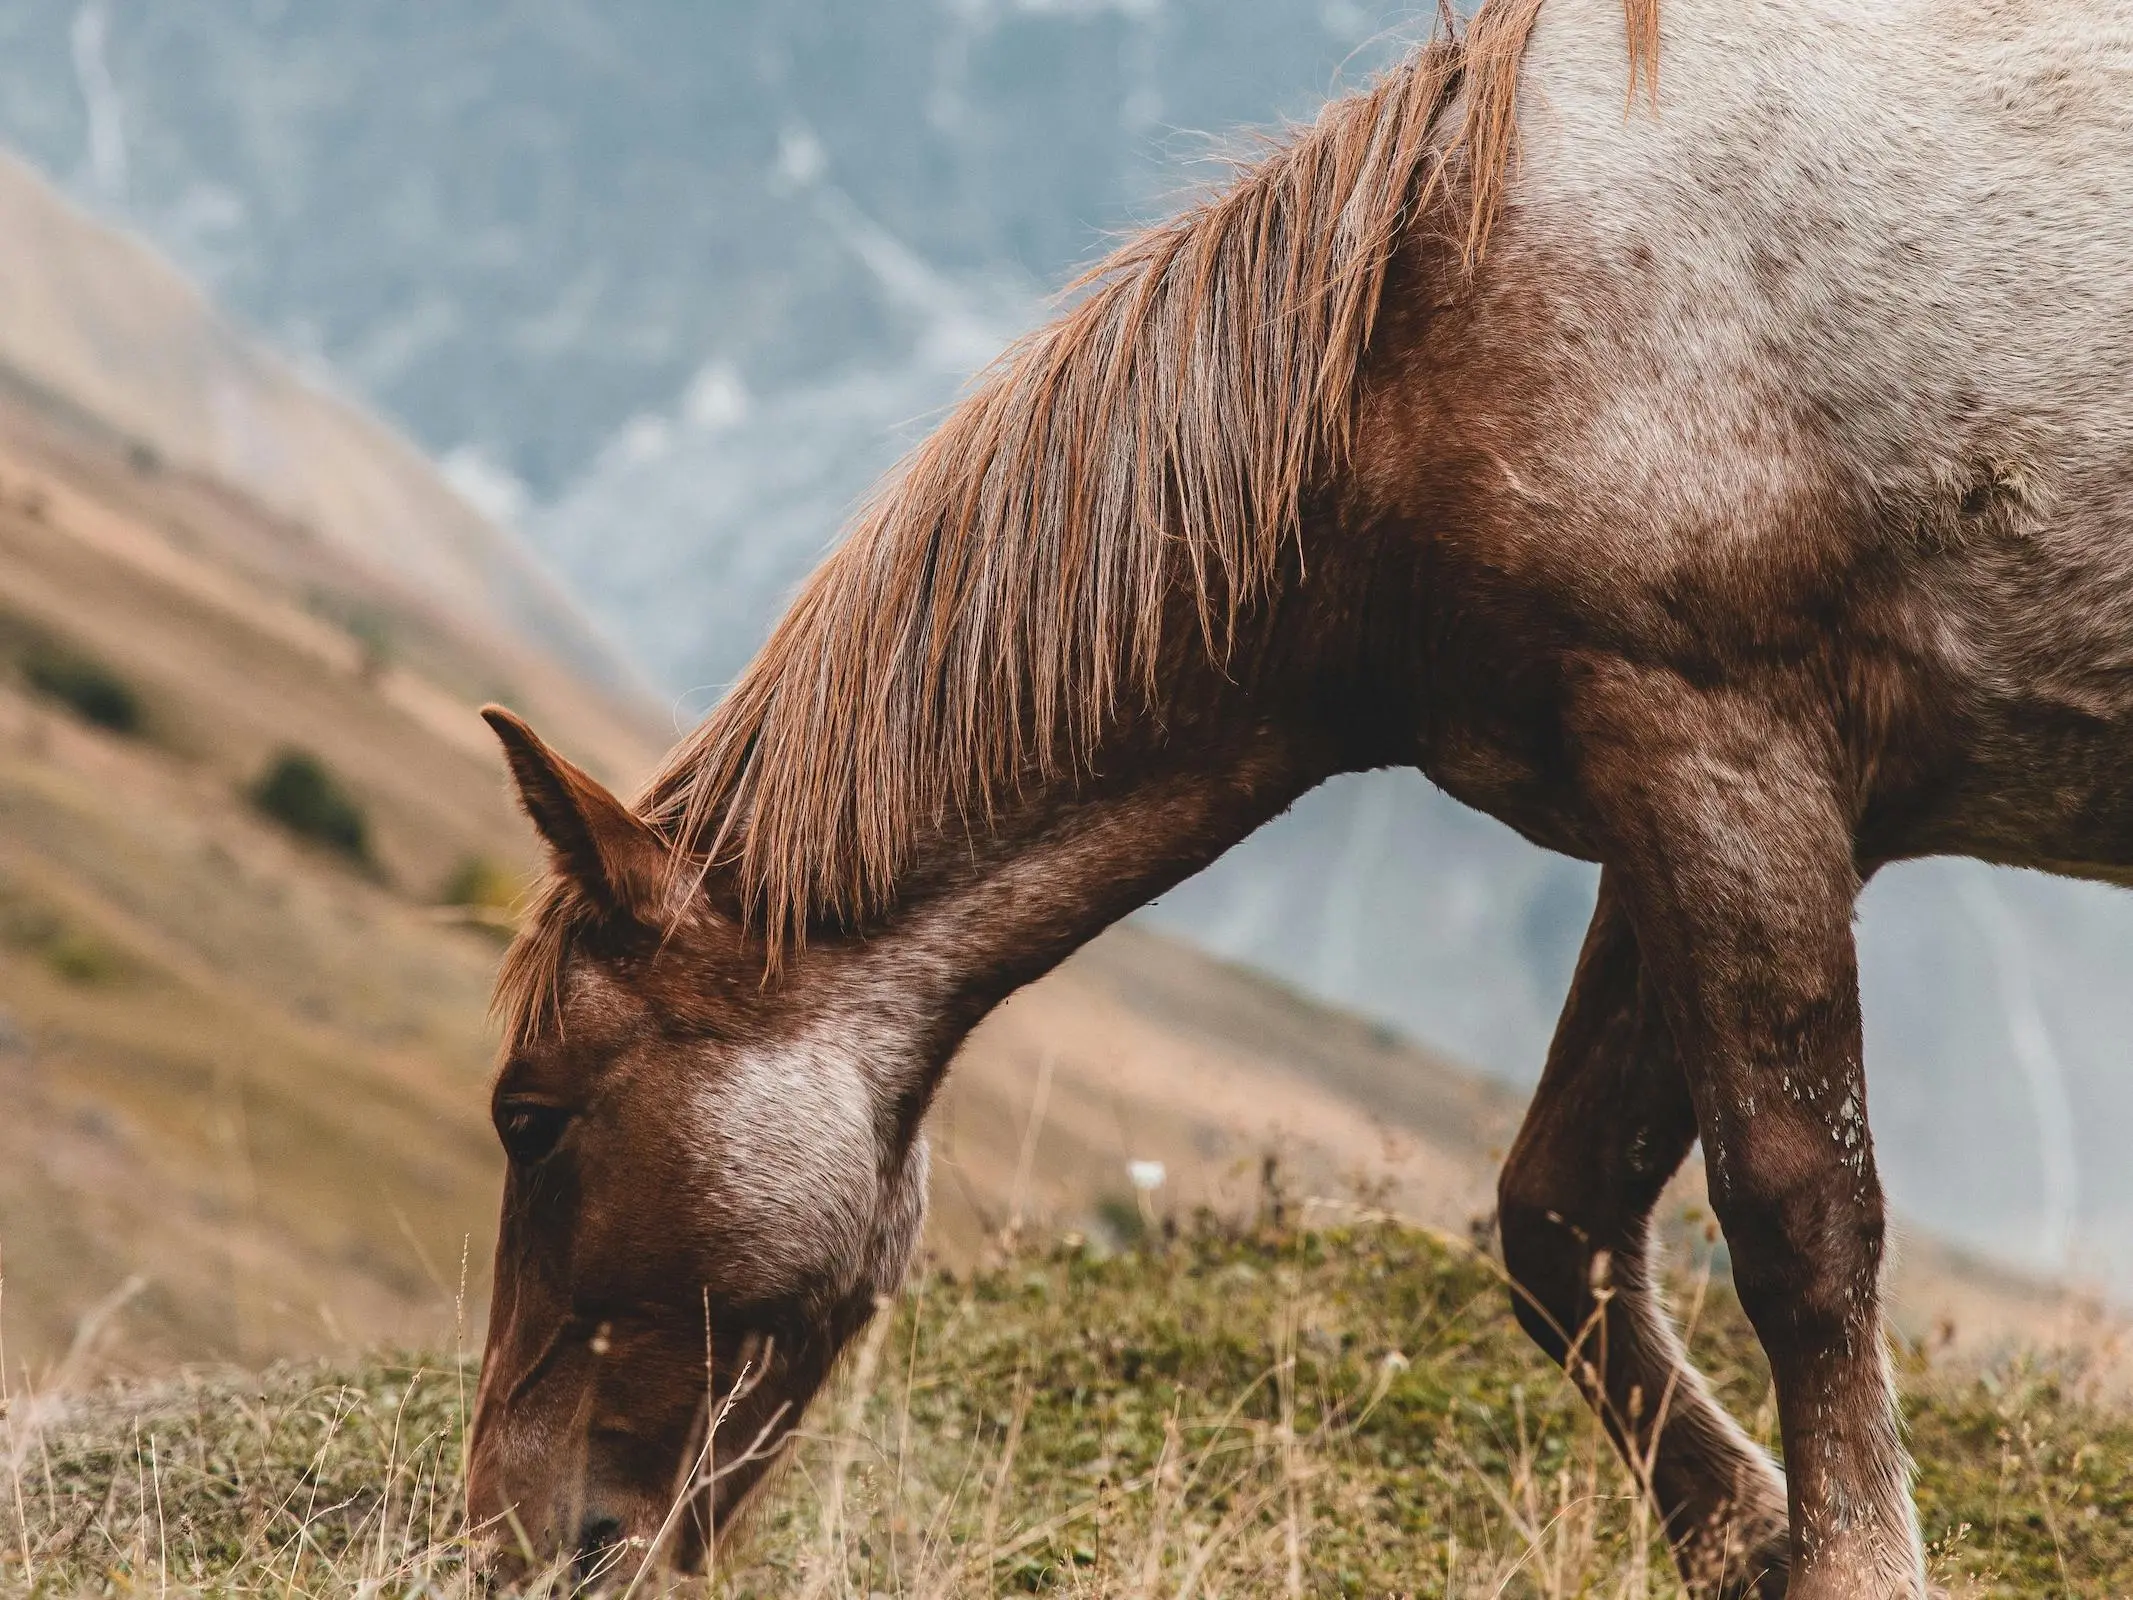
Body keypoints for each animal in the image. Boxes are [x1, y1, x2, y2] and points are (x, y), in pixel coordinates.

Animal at [458, 0, 2133, 1595]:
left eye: (530, 1118)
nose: (500, 1542)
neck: (1436, 324)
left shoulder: (1725, 758)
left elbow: (1797, 1214)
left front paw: (1846, 1561)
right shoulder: (1676, 791)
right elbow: (1560, 1219)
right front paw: (1750, 1539)